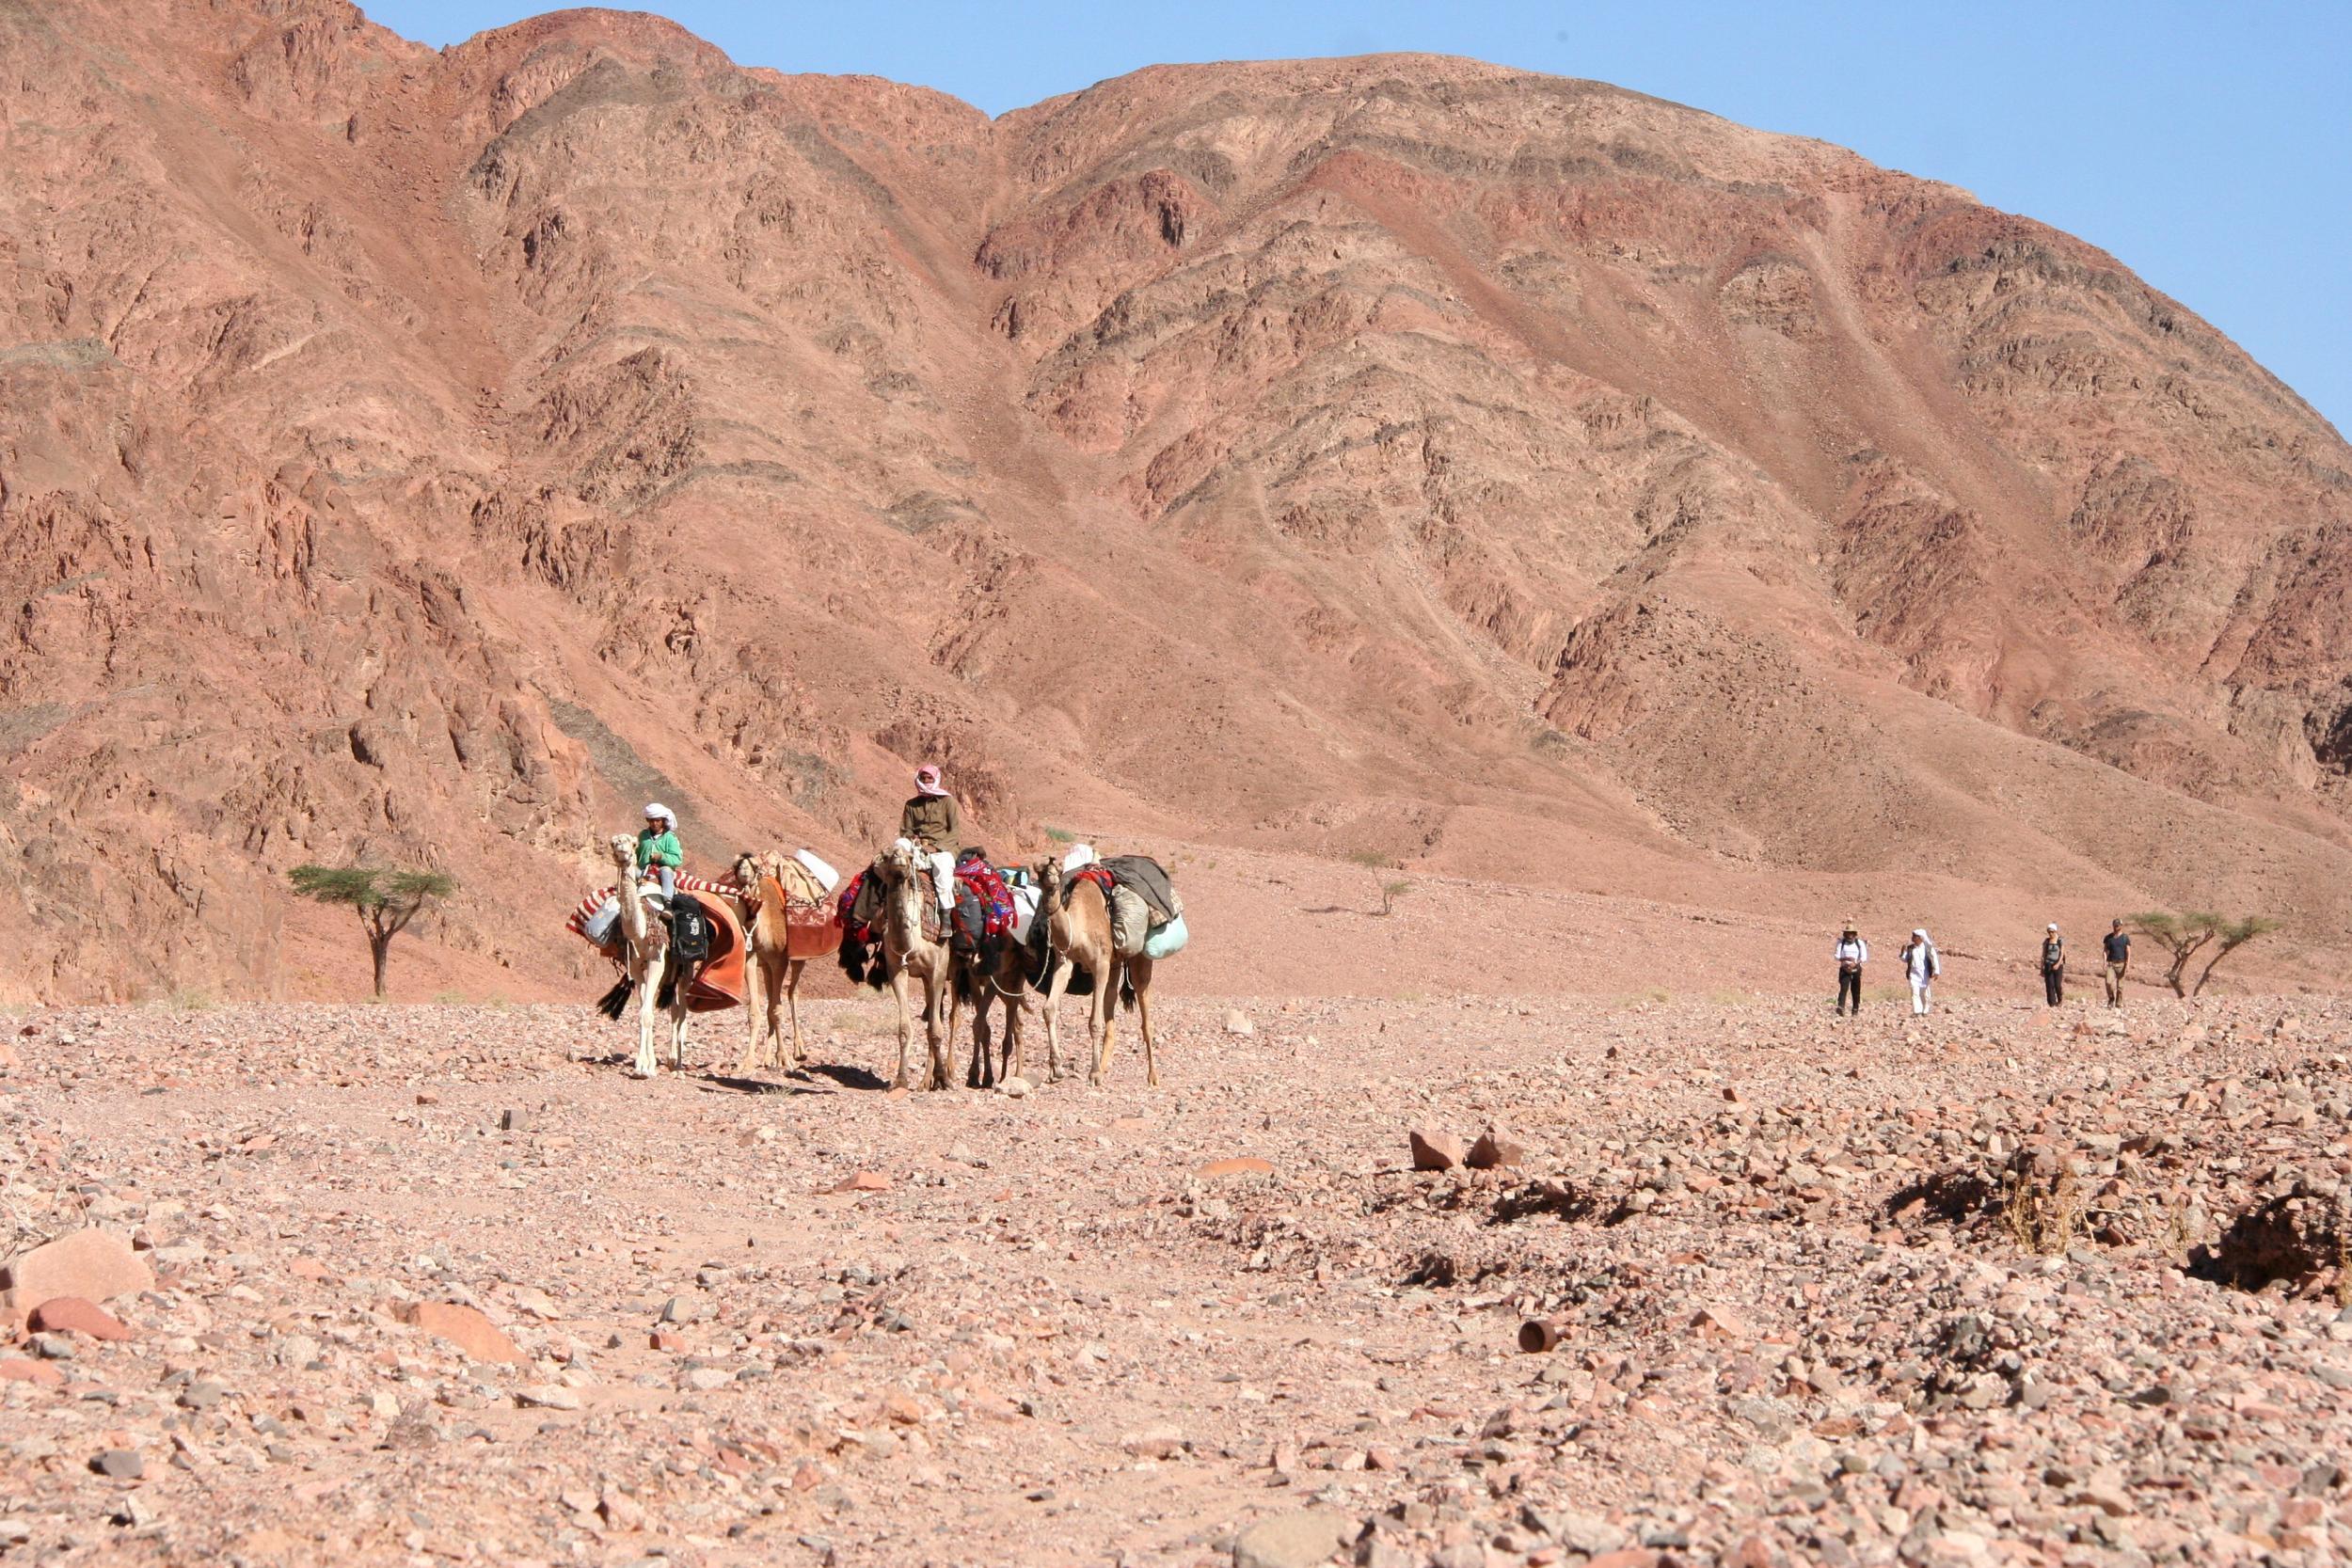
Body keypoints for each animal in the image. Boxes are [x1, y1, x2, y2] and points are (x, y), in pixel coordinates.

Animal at [602, 832, 687, 1081]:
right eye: (613, 842)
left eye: (632, 843)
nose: (622, 850)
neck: (640, 932)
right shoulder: (637, 964)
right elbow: (643, 1012)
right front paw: (645, 1066)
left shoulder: (657, 960)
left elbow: (648, 1014)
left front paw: (645, 1067)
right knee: (675, 1008)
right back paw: (671, 1061)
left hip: (684, 969)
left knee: (682, 1010)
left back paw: (678, 1065)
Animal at [739, 846, 851, 1081]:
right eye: (736, 867)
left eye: (755, 868)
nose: (743, 871)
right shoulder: (751, 958)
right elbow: (756, 1012)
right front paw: (747, 1062)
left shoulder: (780, 960)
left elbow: (776, 1010)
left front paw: (784, 1058)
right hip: (767, 966)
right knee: (774, 998)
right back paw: (767, 1057)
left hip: (799, 960)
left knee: (792, 993)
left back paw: (799, 1050)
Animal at [870, 846, 950, 1090]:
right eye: (886, 856)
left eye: (910, 856)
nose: (899, 859)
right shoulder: (897, 969)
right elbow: (905, 1029)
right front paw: (901, 1079)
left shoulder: (938, 970)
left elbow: (935, 1030)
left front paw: (945, 1079)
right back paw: (926, 1082)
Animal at [1035, 860, 1162, 1090]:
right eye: (1039, 871)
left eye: (1058, 870)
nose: (1050, 883)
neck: (1078, 925)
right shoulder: (1064, 962)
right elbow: (1048, 1009)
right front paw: (1055, 1069)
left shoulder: (1100, 964)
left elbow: (1094, 1022)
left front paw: (1093, 1074)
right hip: (1115, 963)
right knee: (1111, 997)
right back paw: (1103, 1068)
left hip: (1138, 958)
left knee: (1144, 1007)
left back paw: (1152, 1077)